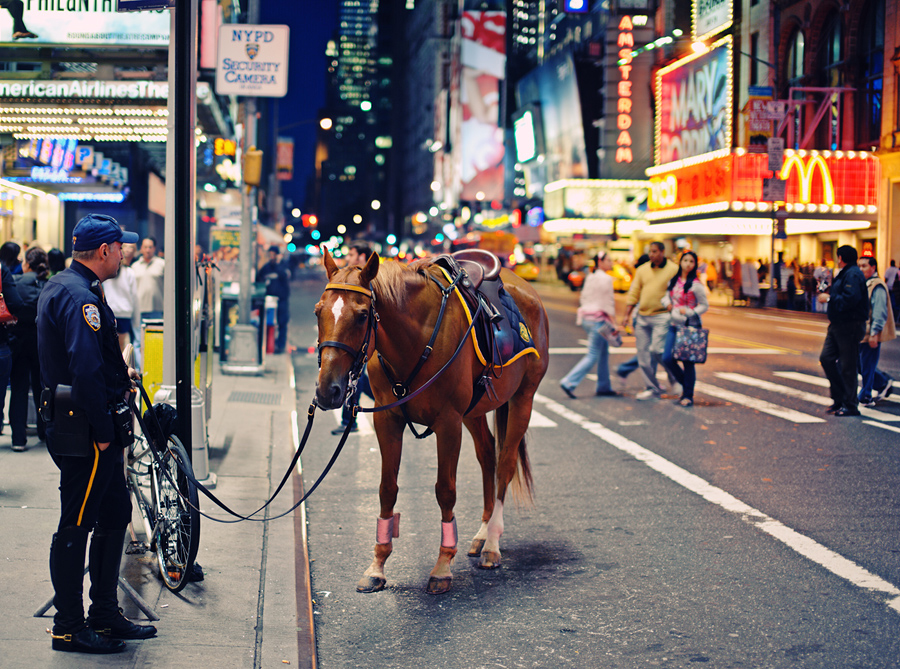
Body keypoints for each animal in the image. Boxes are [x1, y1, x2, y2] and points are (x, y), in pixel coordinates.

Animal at [316, 248, 548, 592]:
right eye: (318, 312)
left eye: (361, 315)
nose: (327, 390)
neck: (415, 341)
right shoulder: (388, 420)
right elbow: (387, 488)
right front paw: (378, 564)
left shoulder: (448, 423)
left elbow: (445, 490)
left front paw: (442, 566)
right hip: (475, 411)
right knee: (488, 455)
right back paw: (482, 534)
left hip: (523, 398)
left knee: (505, 464)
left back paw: (492, 543)